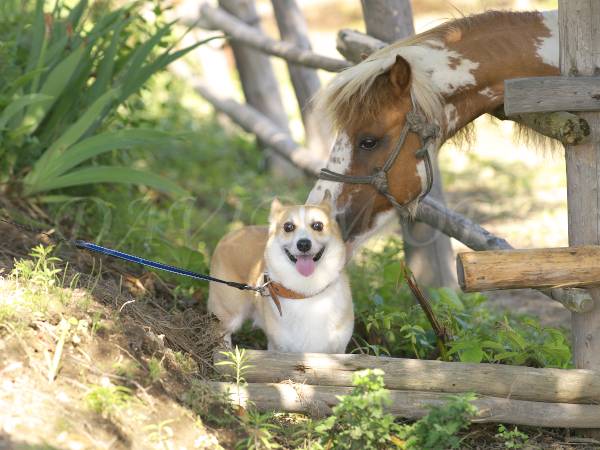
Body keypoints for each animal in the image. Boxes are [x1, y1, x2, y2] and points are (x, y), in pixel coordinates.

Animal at [209, 193, 354, 356]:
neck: (305, 292)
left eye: (318, 225)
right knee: (221, 333)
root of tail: (232, 234)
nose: (303, 244)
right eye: (288, 227)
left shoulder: (338, 350)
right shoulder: (279, 349)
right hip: (228, 313)